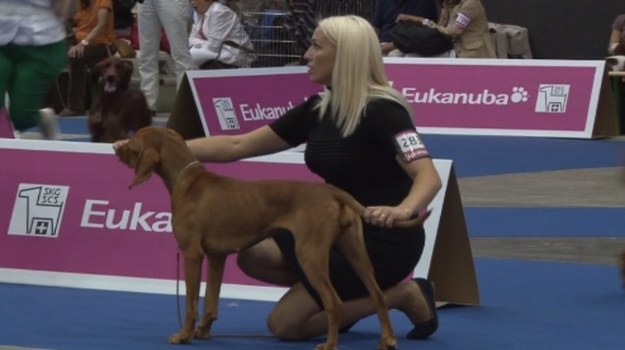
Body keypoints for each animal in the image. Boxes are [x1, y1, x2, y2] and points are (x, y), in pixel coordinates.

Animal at [114, 126, 428, 350]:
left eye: (132, 142)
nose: (115, 146)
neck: (186, 180)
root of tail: (334, 192)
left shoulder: (192, 254)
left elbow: (191, 302)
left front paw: (184, 335)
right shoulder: (217, 256)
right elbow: (211, 301)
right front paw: (204, 331)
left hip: (309, 254)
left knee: (334, 301)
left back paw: (330, 344)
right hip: (356, 253)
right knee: (378, 295)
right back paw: (387, 339)